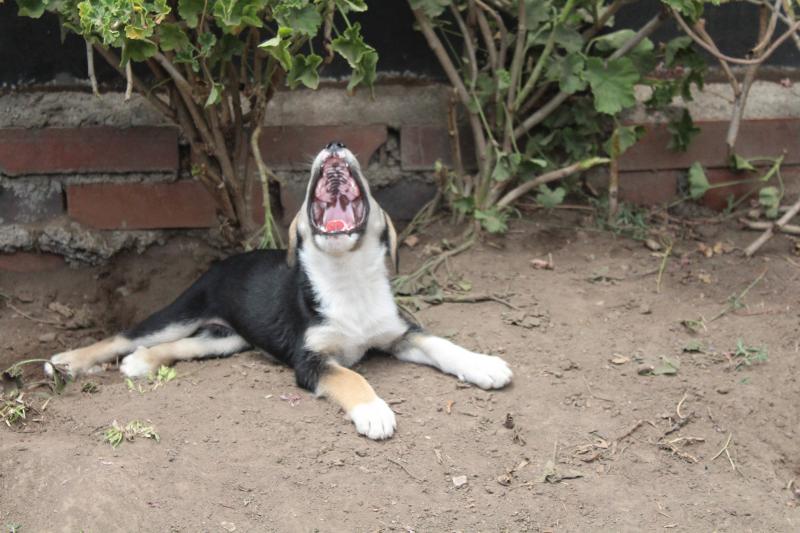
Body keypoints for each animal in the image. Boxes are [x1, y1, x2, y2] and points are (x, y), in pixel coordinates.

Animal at [48, 141, 512, 436]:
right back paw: (65, 362)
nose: (334, 143)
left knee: (181, 346)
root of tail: (228, 260)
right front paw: (373, 410)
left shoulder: (401, 333)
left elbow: (441, 344)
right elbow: (350, 377)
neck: (348, 279)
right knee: (123, 336)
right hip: (183, 310)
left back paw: (142, 362)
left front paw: (484, 365)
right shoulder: (311, 361)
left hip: (228, 338)